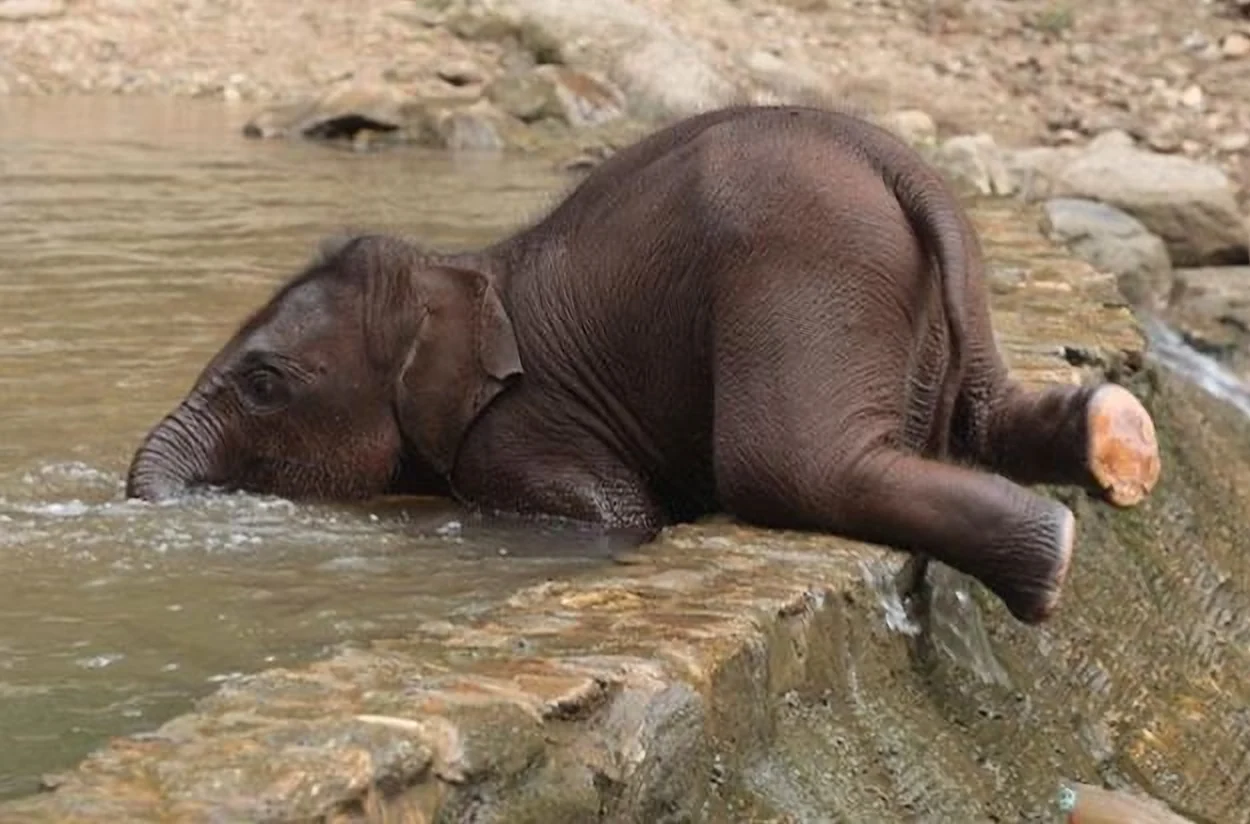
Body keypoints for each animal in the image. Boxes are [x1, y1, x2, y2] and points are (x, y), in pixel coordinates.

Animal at [126, 103, 1161, 625]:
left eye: (263, 384)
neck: (460, 270)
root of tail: (897, 162)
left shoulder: (522, 435)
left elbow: (617, 517)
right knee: (984, 415)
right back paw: (1116, 439)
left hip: (802, 269)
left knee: (787, 466)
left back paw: (1049, 562)